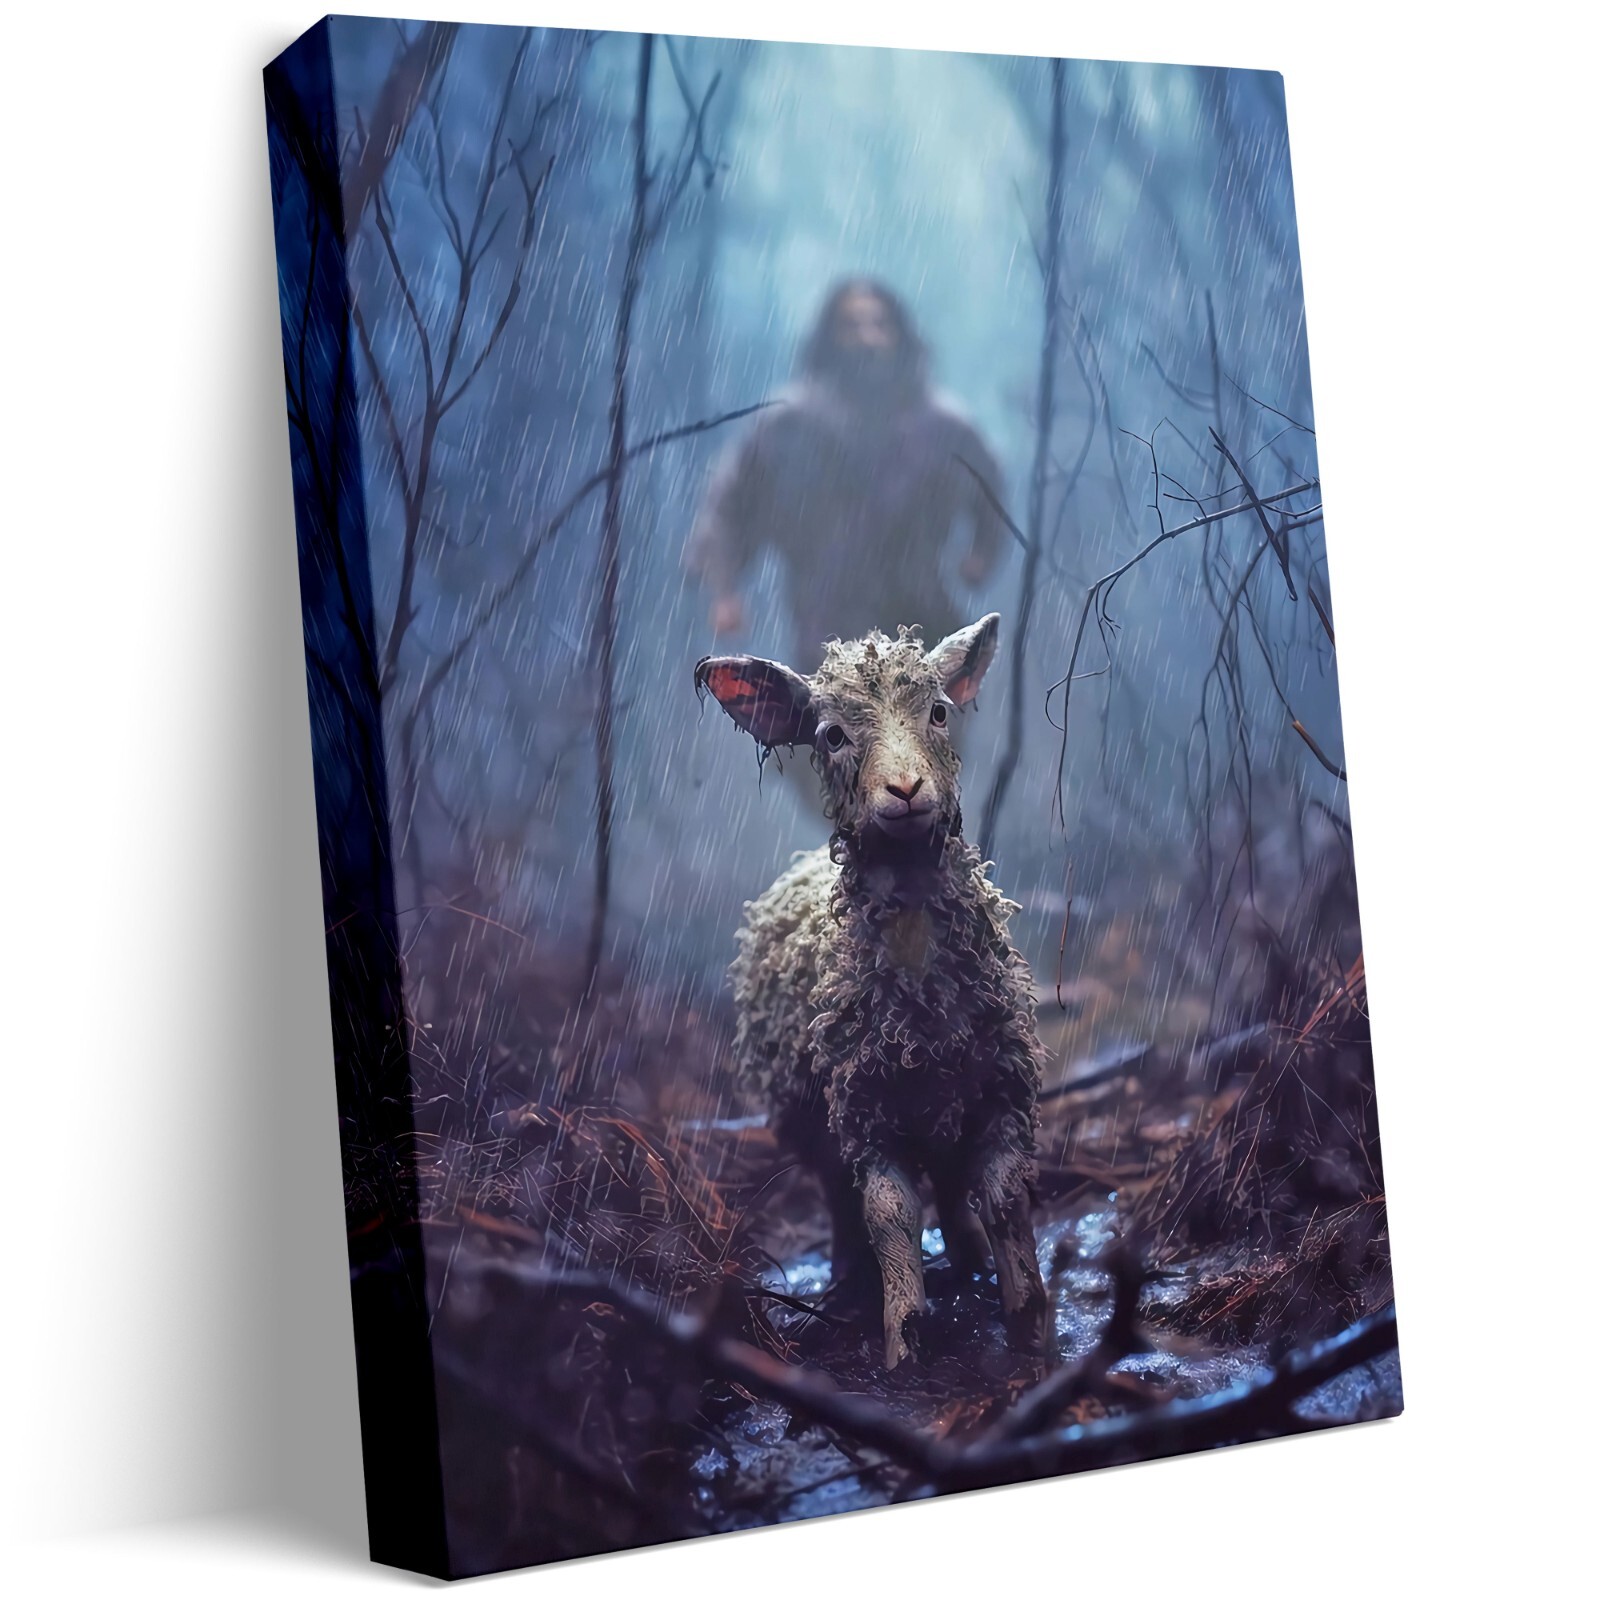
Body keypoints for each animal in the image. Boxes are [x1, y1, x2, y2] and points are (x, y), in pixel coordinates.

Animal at [694, 614, 1051, 1368]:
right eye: (831, 735)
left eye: (939, 713)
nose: (907, 790)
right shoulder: (866, 1115)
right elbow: (890, 1213)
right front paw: (902, 1344)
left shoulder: (1002, 1091)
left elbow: (1004, 1197)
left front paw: (1031, 1333)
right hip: (808, 1120)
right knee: (840, 1198)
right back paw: (847, 1278)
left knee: (951, 1187)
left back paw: (969, 1263)